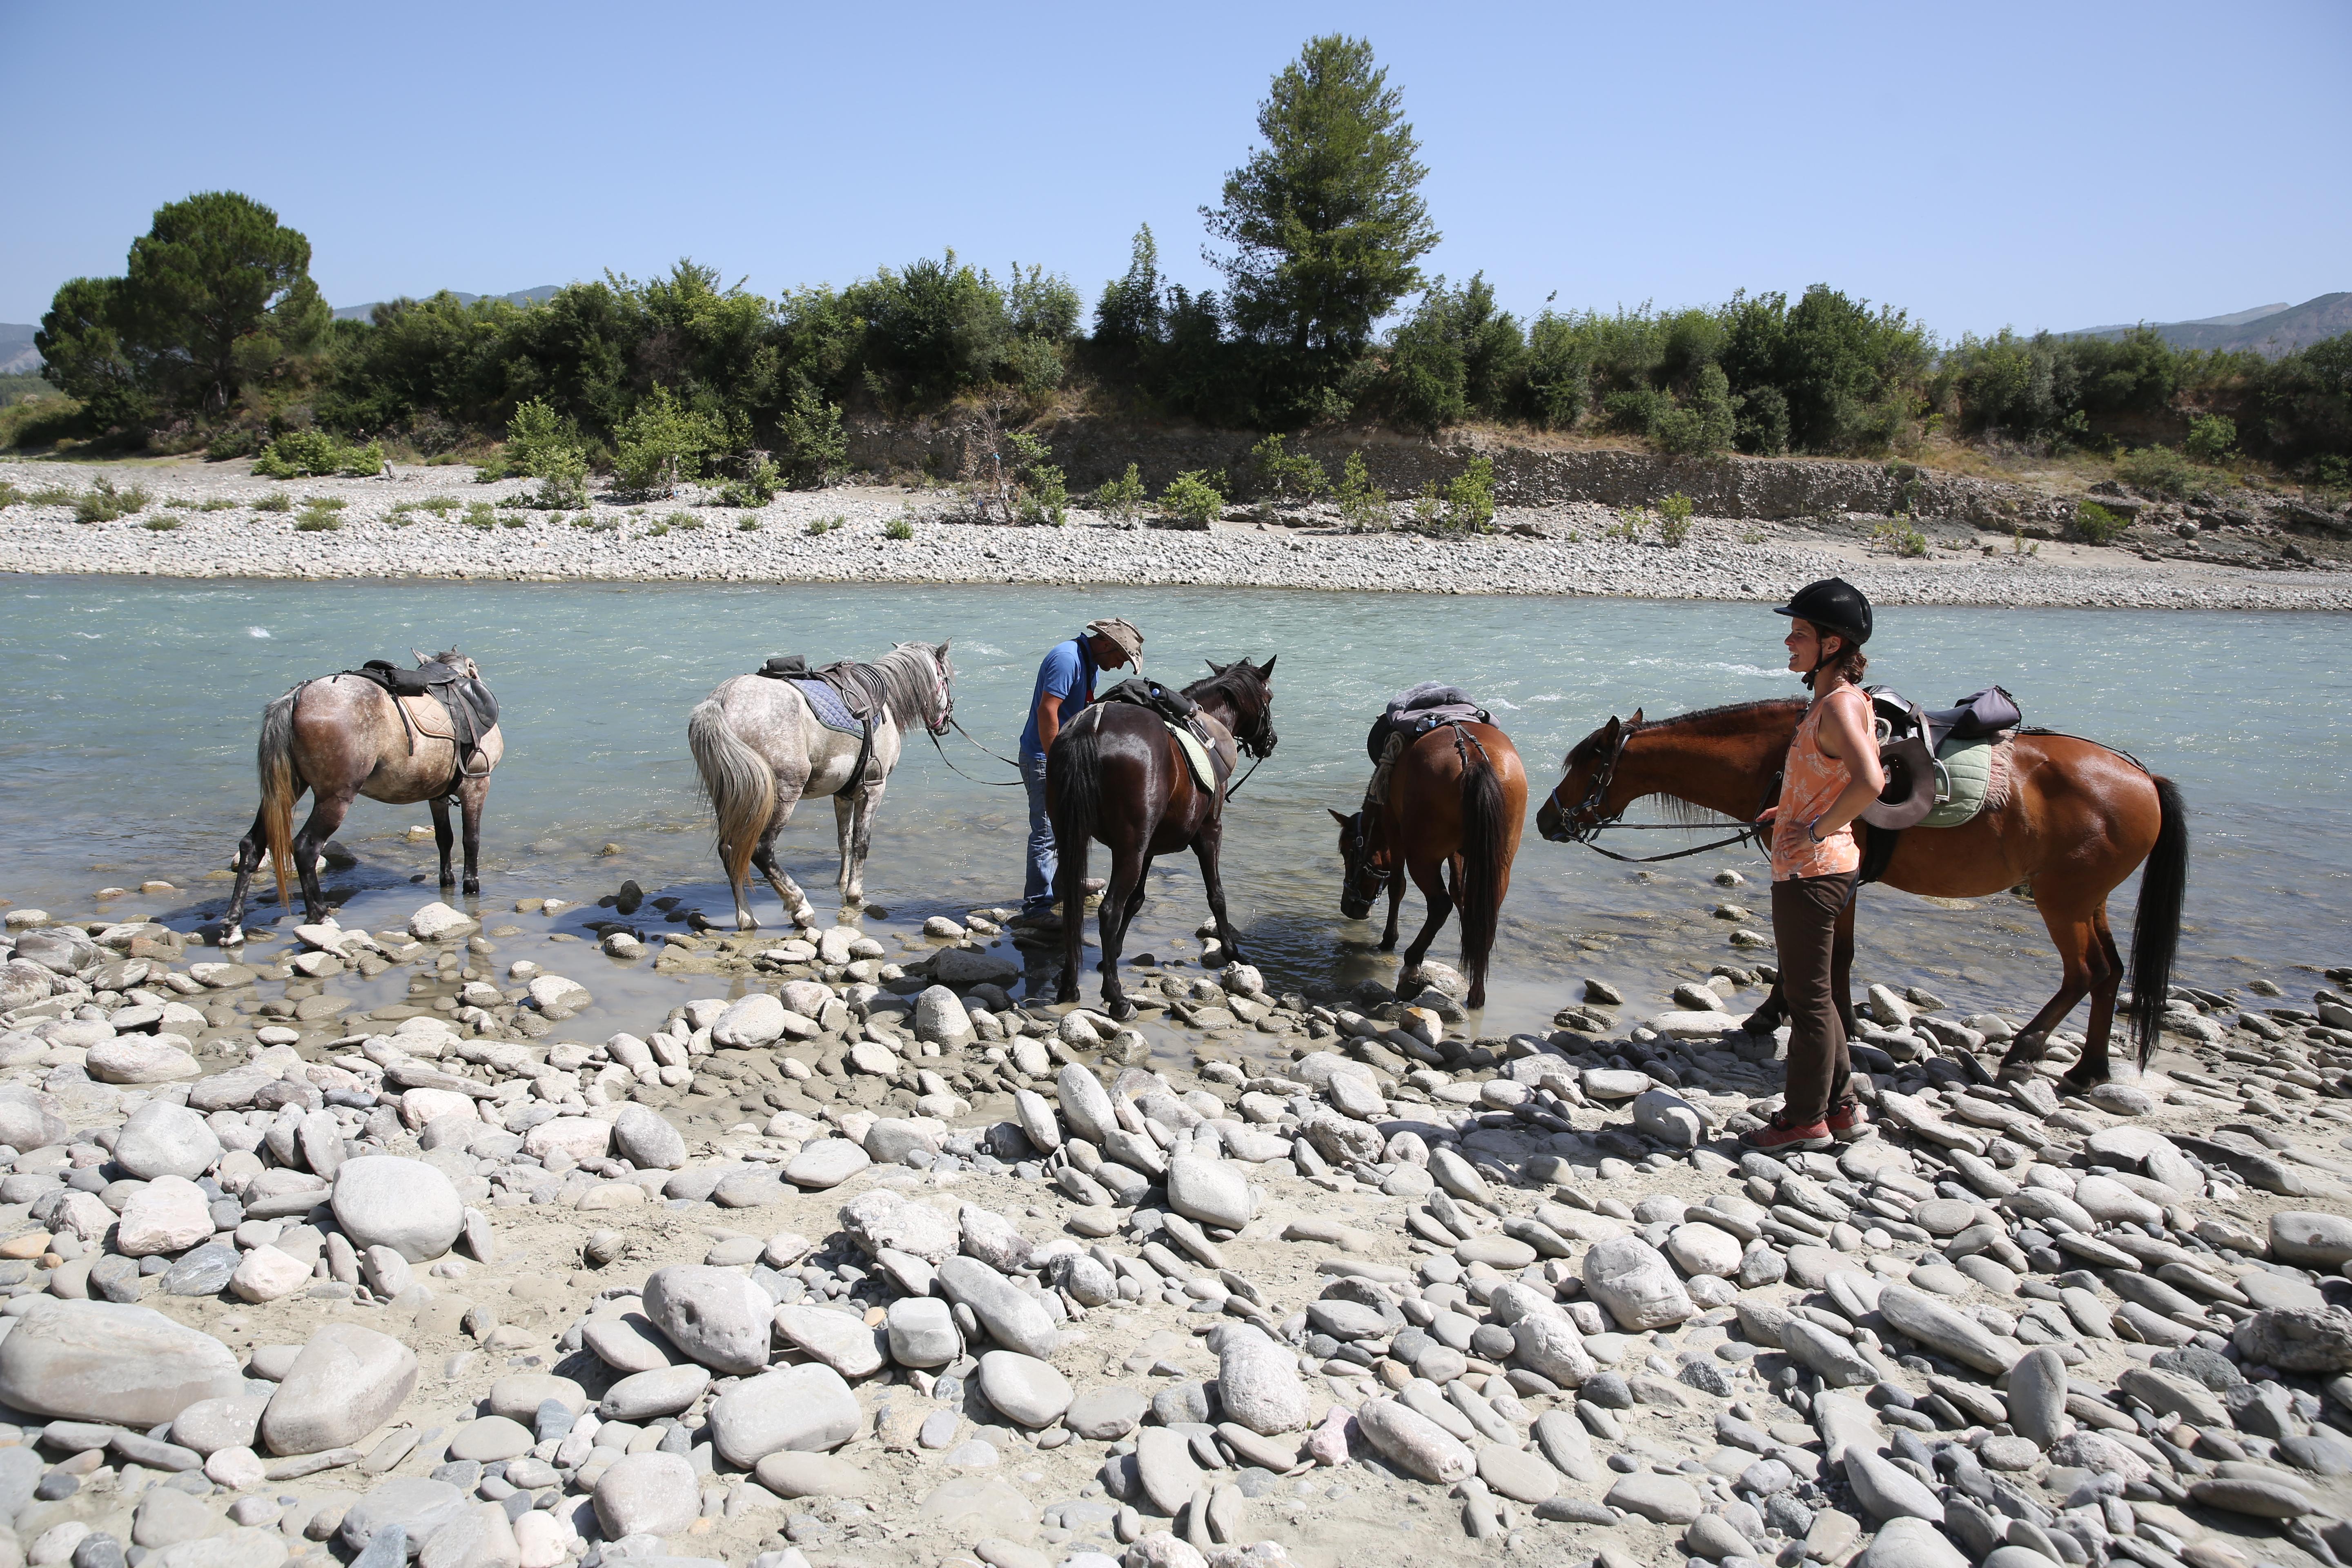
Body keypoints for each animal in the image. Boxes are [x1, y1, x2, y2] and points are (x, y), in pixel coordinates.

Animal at [221, 648, 506, 945]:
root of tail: (297, 698)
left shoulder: (437, 795)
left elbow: (444, 839)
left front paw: (447, 881)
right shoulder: (477, 786)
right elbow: (471, 840)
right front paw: (471, 886)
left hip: (286, 792)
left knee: (251, 846)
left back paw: (233, 926)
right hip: (335, 797)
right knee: (305, 847)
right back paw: (319, 916)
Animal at [686, 639, 955, 926]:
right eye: (947, 679)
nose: (945, 725)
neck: (885, 701)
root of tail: (722, 700)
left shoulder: (844, 793)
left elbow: (844, 840)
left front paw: (842, 882)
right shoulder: (873, 789)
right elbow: (862, 843)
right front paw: (855, 895)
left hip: (732, 797)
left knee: (730, 850)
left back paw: (746, 917)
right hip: (782, 795)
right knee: (761, 851)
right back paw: (800, 906)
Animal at [1044, 658, 1279, 1025]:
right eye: (1268, 697)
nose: (1272, 740)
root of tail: (1089, 730)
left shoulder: (1150, 847)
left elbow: (1138, 900)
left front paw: (1113, 954)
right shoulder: (1209, 833)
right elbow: (1217, 896)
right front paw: (1232, 952)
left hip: (1077, 837)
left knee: (1074, 904)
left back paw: (1070, 985)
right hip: (1129, 848)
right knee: (1108, 910)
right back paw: (1117, 999)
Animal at [1336, 719, 1533, 1011]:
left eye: (1348, 852)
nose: (1349, 907)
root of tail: (1472, 758)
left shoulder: (1396, 833)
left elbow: (1397, 886)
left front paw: (1389, 939)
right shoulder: (1460, 854)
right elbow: (1462, 895)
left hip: (1423, 857)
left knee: (1440, 904)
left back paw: (1410, 971)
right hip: (1500, 860)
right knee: (1486, 911)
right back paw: (1477, 992)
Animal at [1543, 700, 2183, 1091]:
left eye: (1582, 766)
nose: (1549, 821)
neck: (1779, 762)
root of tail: (2144, 779)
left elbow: (1809, 952)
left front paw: (1774, 1015)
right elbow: (1835, 953)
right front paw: (1839, 1021)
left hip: (2063, 901)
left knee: (2085, 973)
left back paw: (2026, 1051)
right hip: (2089, 900)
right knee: (2110, 972)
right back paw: (2088, 1069)